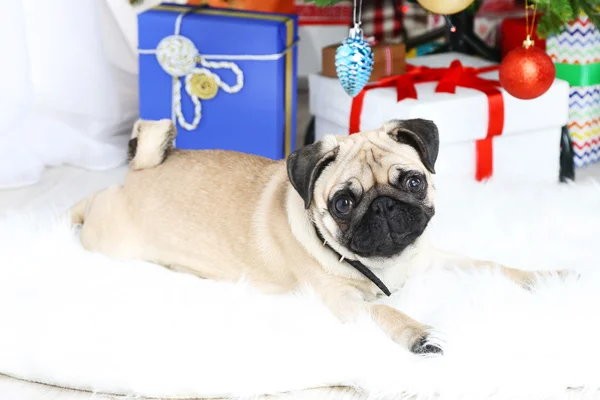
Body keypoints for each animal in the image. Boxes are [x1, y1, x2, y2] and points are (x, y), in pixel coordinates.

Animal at [71, 117, 568, 354]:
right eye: (343, 203)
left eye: (412, 182)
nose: (383, 206)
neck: (387, 264)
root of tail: (140, 171)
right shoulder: (345, 302)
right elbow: (386, 312)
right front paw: (419, 336)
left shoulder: (432, 259)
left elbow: (489, 264)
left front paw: (546, 279)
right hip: (110, 239)